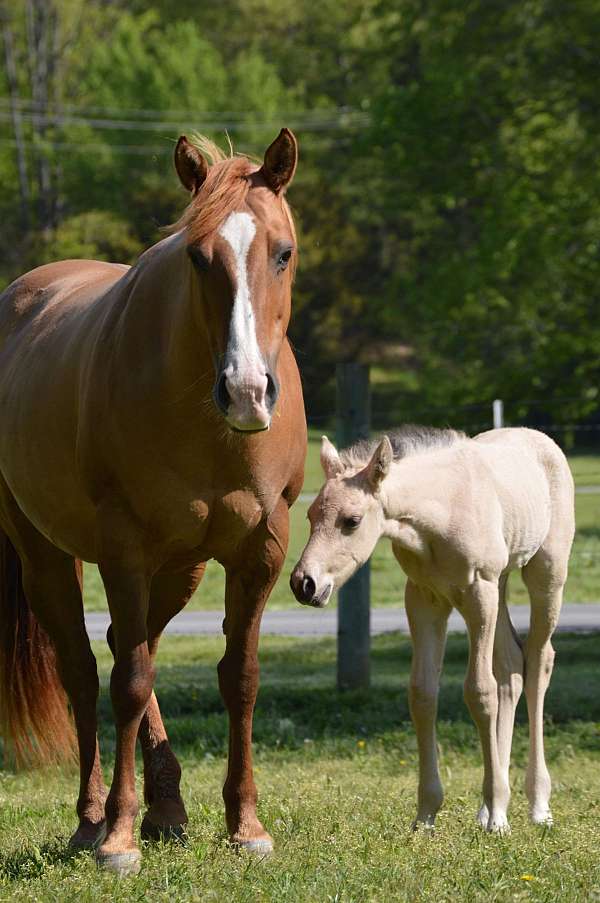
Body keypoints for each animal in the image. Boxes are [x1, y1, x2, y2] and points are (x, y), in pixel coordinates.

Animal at [292, 428, 576, 836]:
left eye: (352, 520)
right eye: (311, 514)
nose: (304, 584)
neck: (441, 510)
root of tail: (543, 441)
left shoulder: (478, 593)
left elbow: (480, 691)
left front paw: (497, 817)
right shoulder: (424, 600)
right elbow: (423, 695)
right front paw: (426, 816)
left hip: (546, 574)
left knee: (539, 661)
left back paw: (537, 805)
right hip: (502, 582)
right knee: (511, 667)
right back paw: (489, 807)